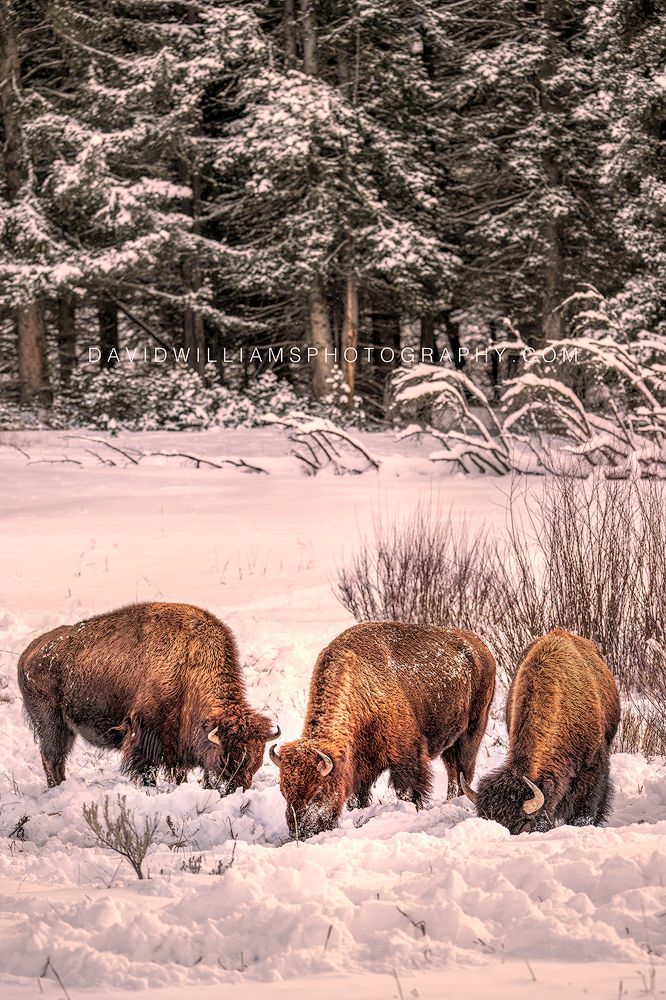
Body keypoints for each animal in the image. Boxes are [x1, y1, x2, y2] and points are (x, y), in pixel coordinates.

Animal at [18, 601, 278, 791]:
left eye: (256, 762)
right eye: (225, 759)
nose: (235, 789)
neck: (189, 667)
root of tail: (28, 653)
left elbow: (178, 771)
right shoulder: (146, 732)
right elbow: (147, 768)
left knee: (57, 758)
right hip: (52, 723)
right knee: (51, 756)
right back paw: (56, 788)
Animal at [269, 621, 496, 839]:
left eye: (317, 792)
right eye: (284, 792)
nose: (300, 833)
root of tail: (481, 647)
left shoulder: (407, 757)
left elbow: (408, 791)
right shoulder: (360, 766)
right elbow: (357, 797)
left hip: (472, 732)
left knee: (463, 770)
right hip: (451, 741)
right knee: (453, 772)